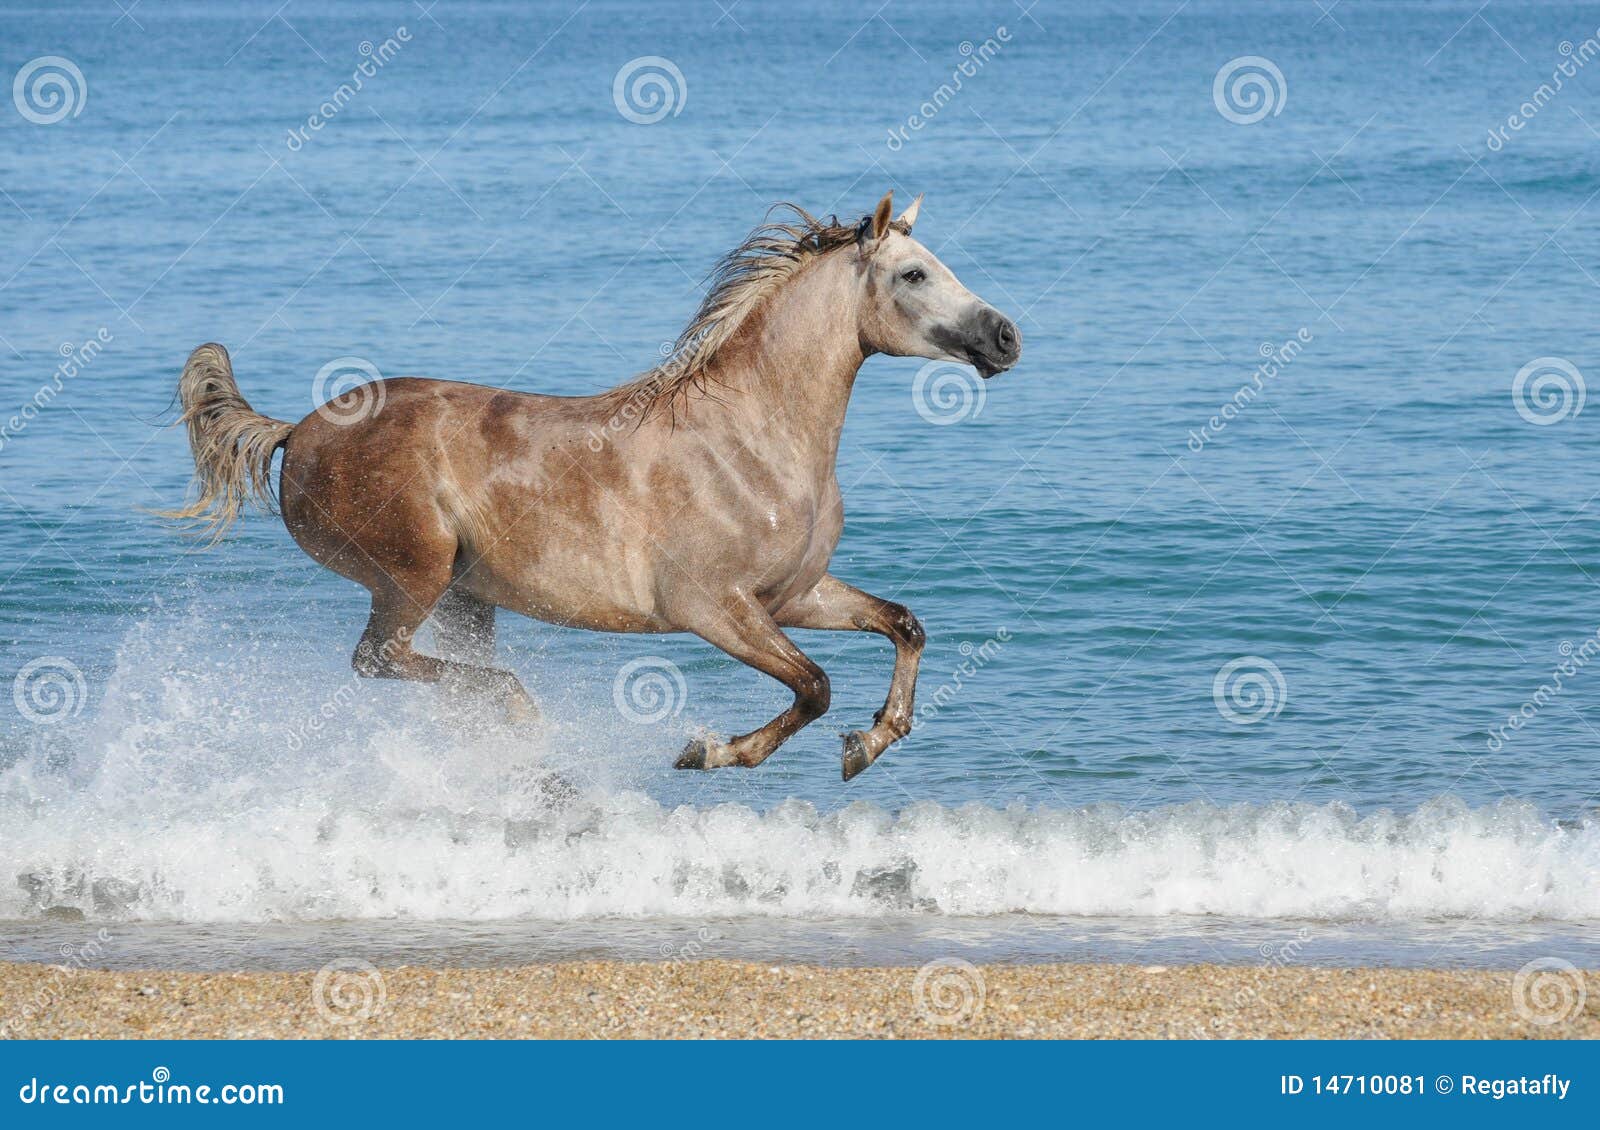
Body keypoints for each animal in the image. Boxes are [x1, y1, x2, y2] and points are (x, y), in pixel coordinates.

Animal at [165, 191, 1024, 774]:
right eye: (914, 274)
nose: (1005, 338)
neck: (750, 436)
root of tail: (297, 431)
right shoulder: (714, 608)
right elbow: (813, 687)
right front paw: (710, 751)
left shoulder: (794, 596)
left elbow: (904, 627)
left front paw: (870, 742)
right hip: (413, 574)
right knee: (379, 659)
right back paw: (519, 706)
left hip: (466, 595)